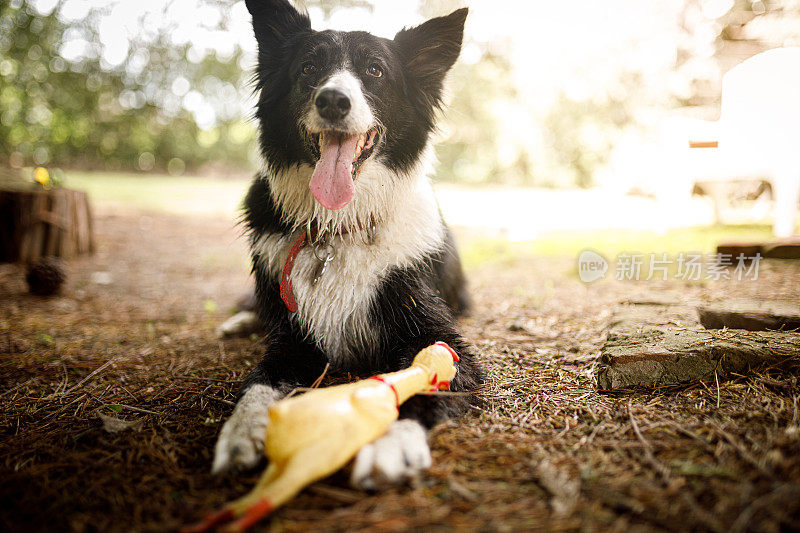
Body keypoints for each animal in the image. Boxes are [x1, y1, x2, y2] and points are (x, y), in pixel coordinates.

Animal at [212, 0, 484, 488]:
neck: (338, 225)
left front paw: (391, 443)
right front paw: (241, 432)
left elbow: (420, 384)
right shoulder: (295, 335)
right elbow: (259, 382)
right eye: (309, 68)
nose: (333, 100)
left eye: (375, 70)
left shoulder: (442, 340)